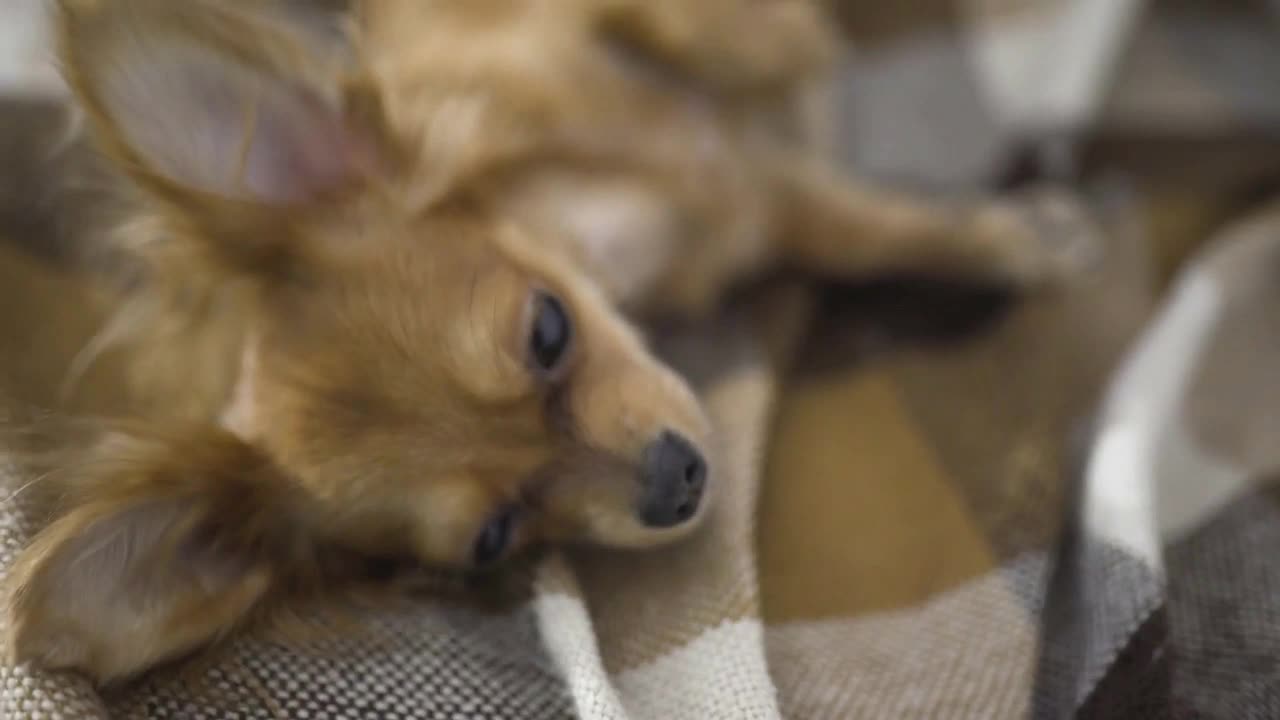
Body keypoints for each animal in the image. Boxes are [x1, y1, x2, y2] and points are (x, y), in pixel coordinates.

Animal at [5, 0, 1064, 681]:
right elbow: (851, 226)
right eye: (494, 536)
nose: (676, 483)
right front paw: (1005, 242)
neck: (626, 226)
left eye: (547, 331)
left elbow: (684, 32)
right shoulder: (771, 204)